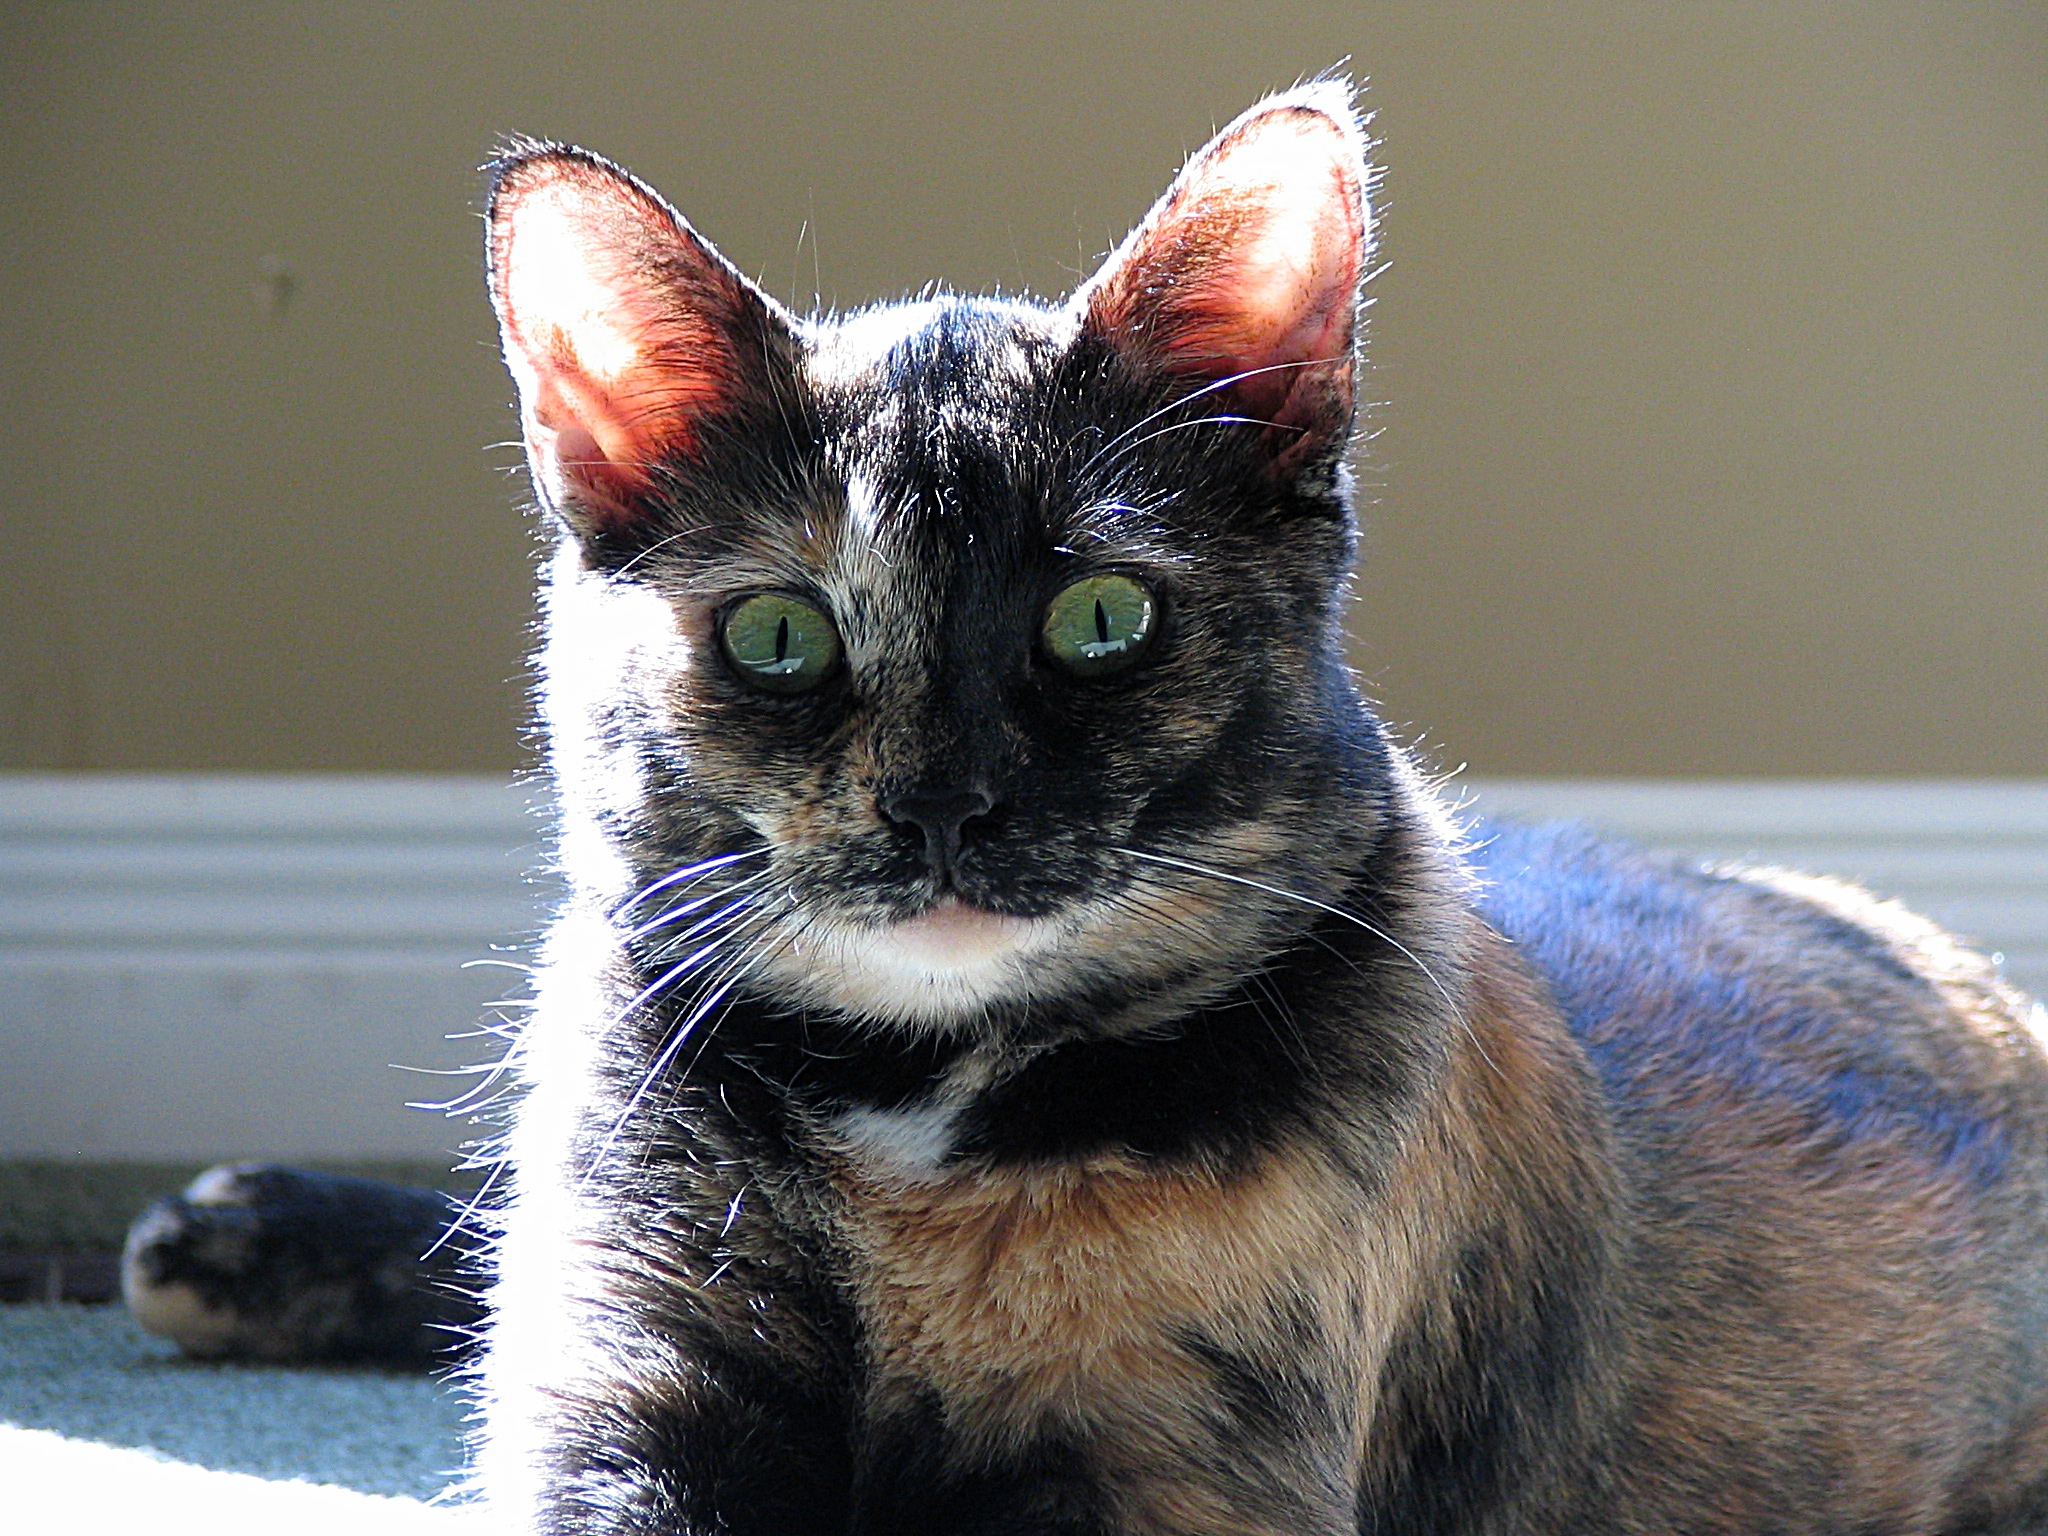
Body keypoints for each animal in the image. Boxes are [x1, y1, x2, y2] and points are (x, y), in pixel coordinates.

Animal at [456, 83, 2048, 1536]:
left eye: (1102, 616)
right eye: (777, 636)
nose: (942, 808)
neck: (926, 1120)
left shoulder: (1182, 1464)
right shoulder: (629, 1391)